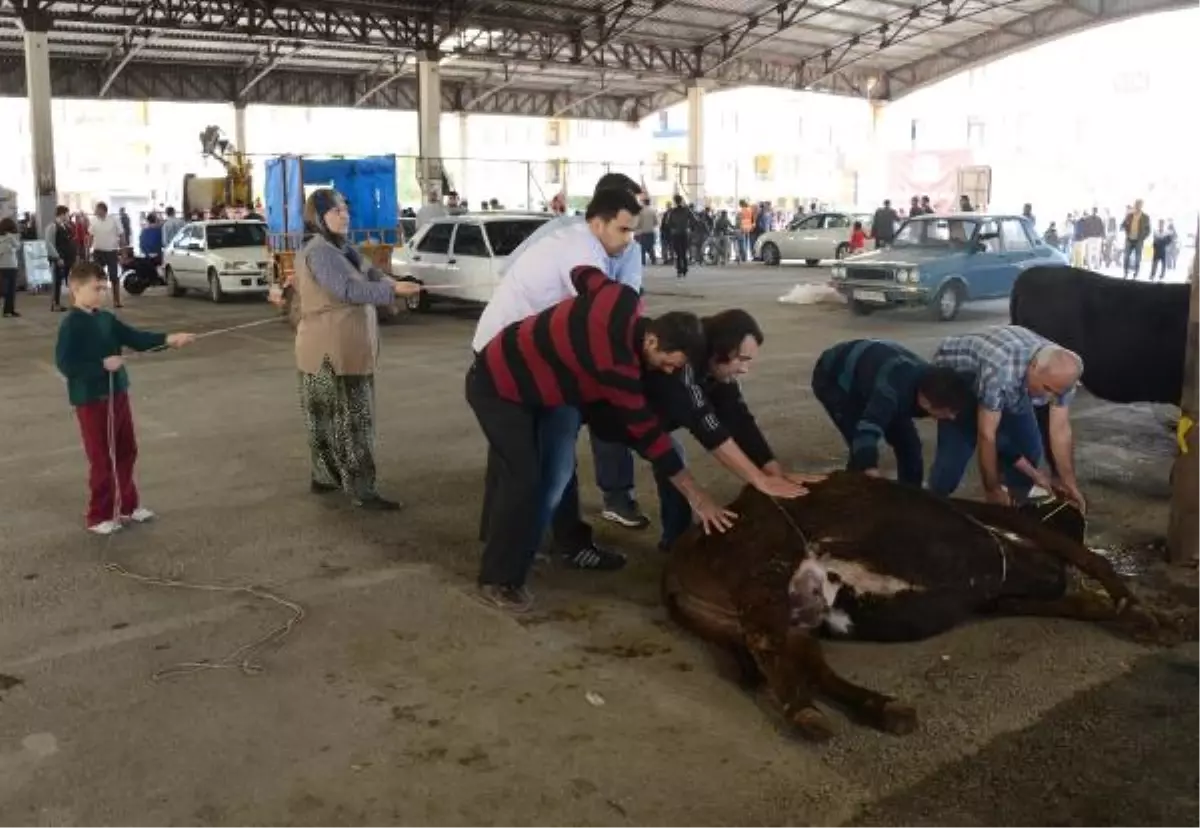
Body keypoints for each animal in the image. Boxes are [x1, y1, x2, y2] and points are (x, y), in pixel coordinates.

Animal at [662, 470, 1195, 744]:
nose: (1049, 574)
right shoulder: (1003, 525)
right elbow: (1092, 562)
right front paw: (1146, 616)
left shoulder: (1000, 596)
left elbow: (1080, 601)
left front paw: (1149, 617)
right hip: (766, 569)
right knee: (768, 643)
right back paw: (807, 715)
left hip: (793, 614)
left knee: (812, 666)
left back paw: (883, 708)